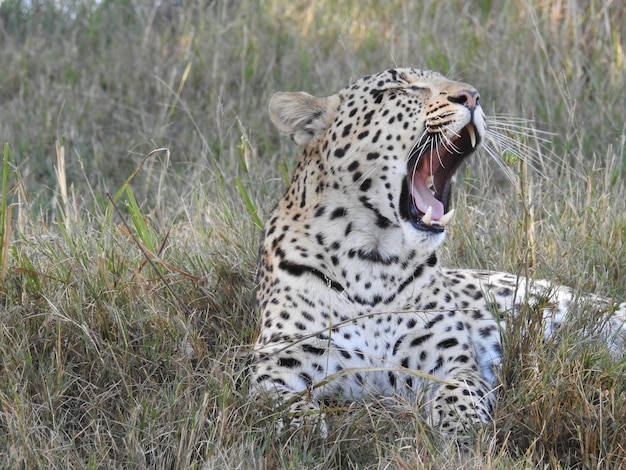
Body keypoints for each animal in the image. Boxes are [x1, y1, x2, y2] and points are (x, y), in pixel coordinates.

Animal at [249, 67, 624, 440]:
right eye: (401, 88)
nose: (472, 96)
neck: (373, 260)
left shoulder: (452, 361)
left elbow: (460, 393)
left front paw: (461, 432)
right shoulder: (278, 362)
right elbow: (281, 403)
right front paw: (302, 431)